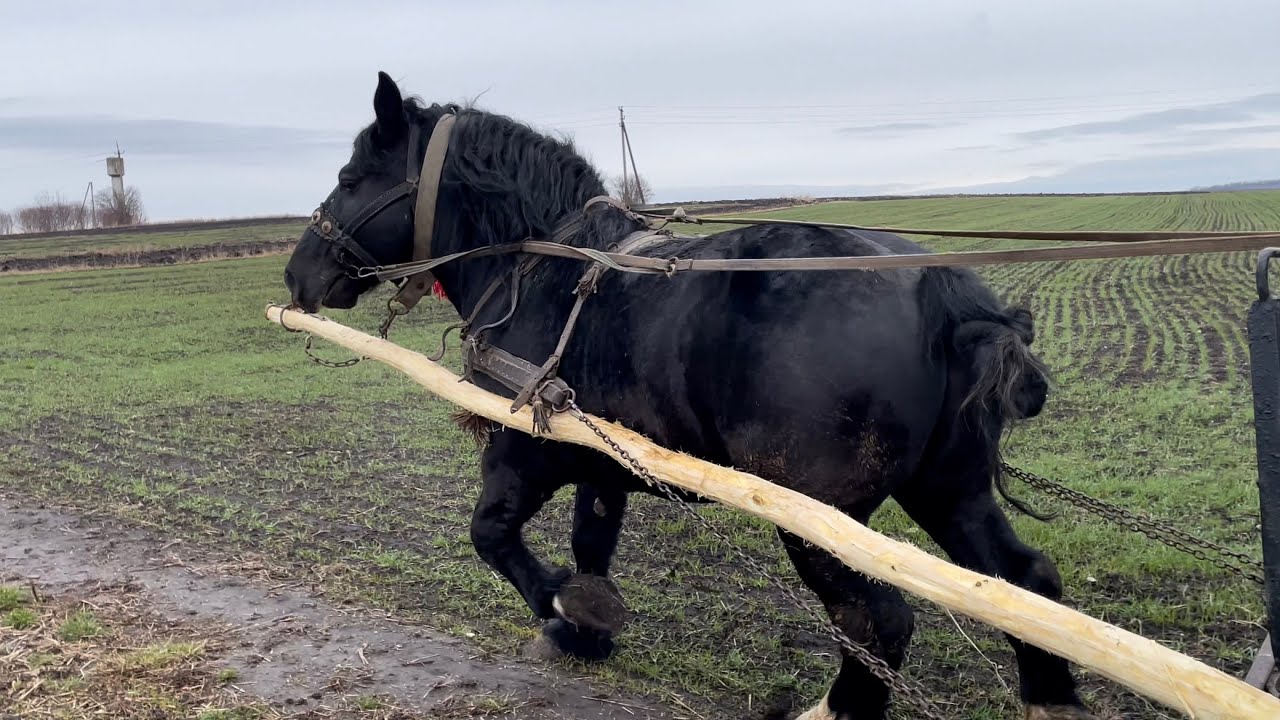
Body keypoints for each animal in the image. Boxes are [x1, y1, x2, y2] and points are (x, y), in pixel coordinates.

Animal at [283, 71, 1092, 720]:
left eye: (351, 177)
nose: (298, 273)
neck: (538, 266)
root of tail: (941, 293)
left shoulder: (524, 449)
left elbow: (493, 535)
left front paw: (567, 610)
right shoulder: (601, 459)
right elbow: (590, 542)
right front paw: (586, 628)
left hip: (820, 518)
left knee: (879, 622)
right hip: (947, 488)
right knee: (1025, 582)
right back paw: (1049, 697)